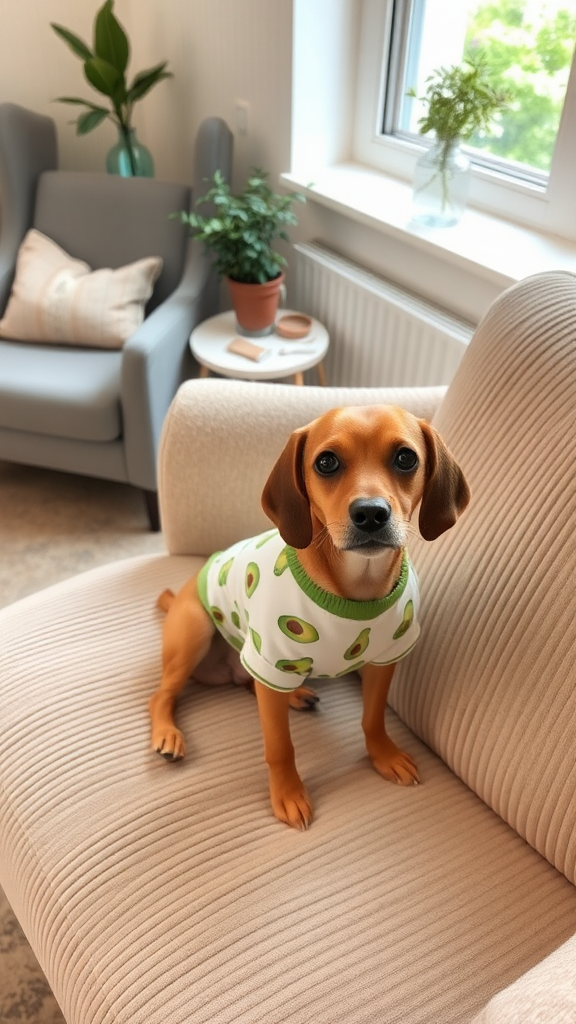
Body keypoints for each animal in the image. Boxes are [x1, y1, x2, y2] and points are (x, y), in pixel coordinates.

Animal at [150, 403, 469, 827]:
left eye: (405, 458)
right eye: (327, 462)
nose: (371, 514)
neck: (354, 588)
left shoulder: (384, 660)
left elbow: (373, 719)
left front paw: (382, 754)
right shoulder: (268, 660)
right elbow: (279, 746)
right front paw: (287, 792)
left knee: (251, 683)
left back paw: (295, 694)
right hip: (196, 633)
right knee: (162, 695)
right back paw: (167, 732)